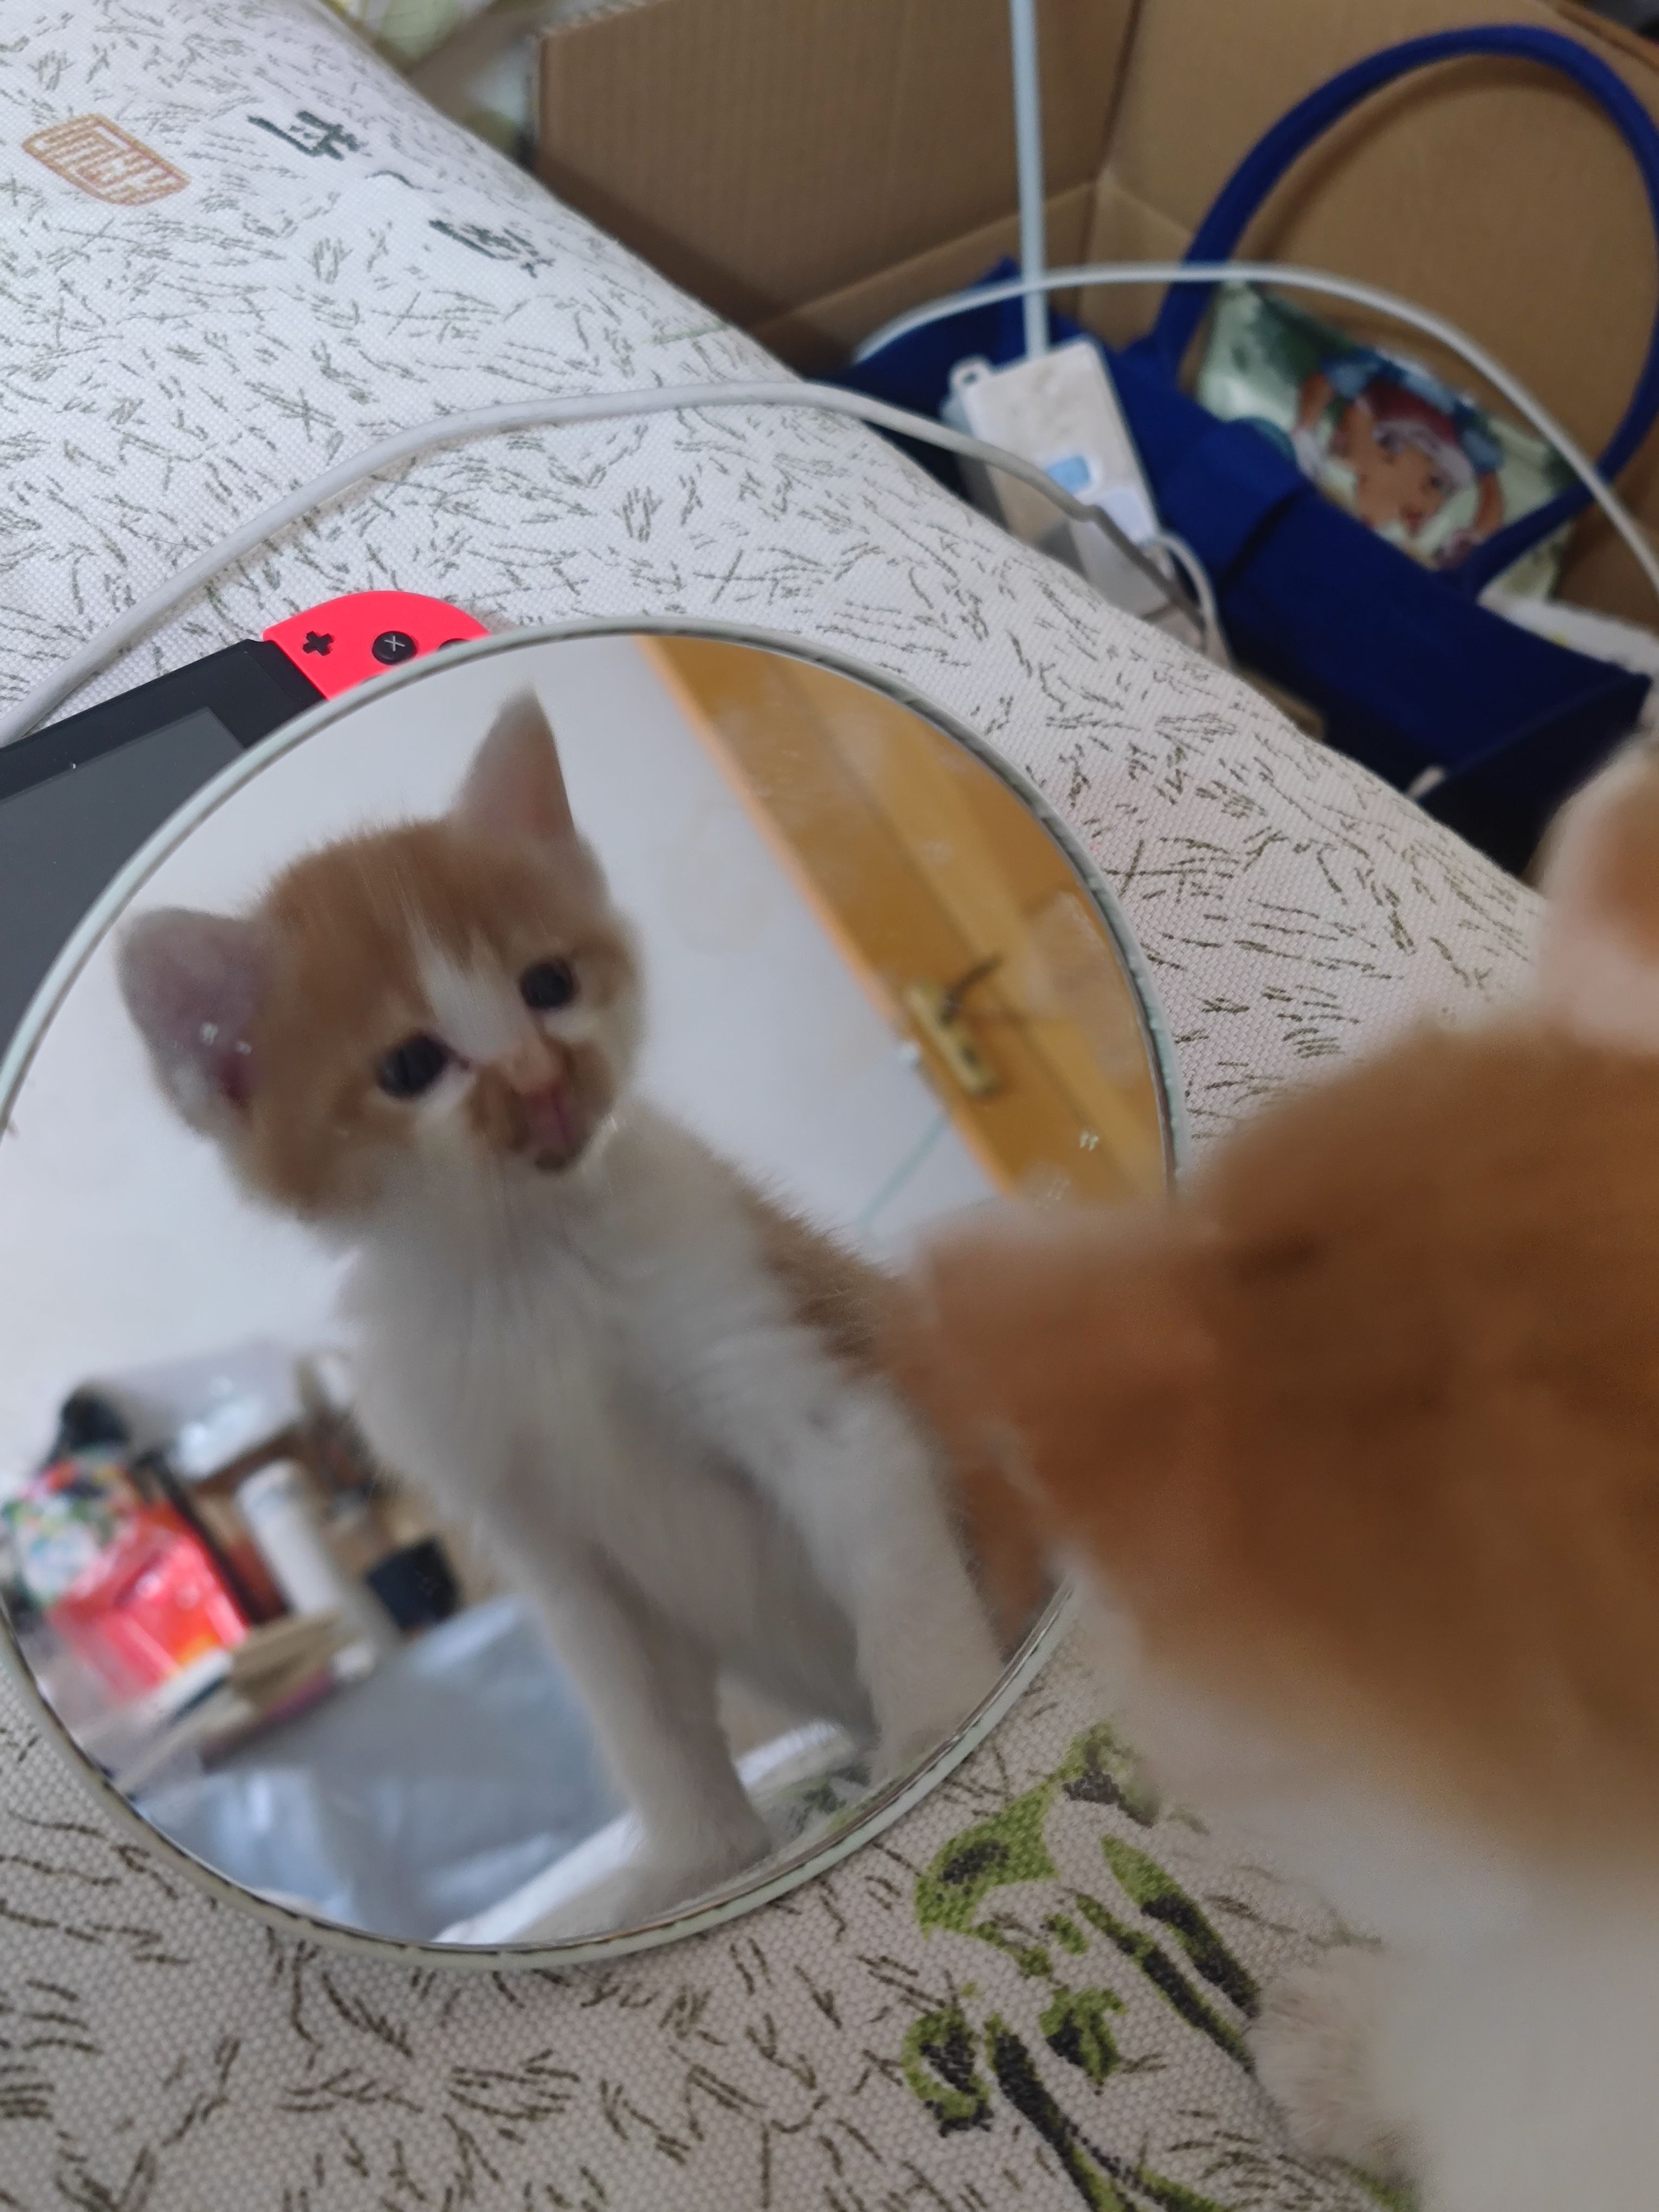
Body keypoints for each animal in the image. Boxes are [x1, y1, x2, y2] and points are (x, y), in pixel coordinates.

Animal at [118, 692, 1004, 1936]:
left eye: (547, 985)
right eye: (411, 1065)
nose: (541, 1080)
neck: (531, 1274)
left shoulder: (784, 1356)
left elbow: (895, 1564)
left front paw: (936, 1723)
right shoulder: (550, 1549)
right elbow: (645, 1719)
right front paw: (695, 1864)